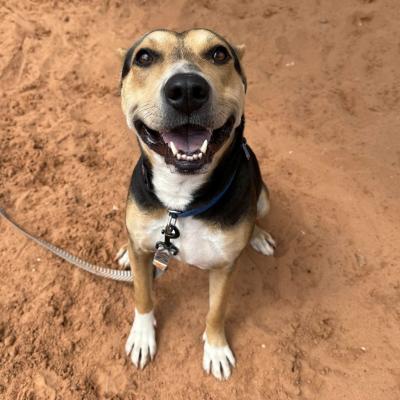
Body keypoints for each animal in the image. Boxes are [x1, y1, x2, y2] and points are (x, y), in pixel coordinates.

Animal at [114, 28, 274, 382]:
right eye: (144, 57)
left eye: (219, 54)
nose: (186, 89)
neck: (179, 205)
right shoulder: (146, 248)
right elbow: (142, 295)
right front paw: (142, 337)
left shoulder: (225, 266)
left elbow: (216, 311)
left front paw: (216, 349)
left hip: (265, 198)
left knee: (257, 214)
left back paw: (258, 236)